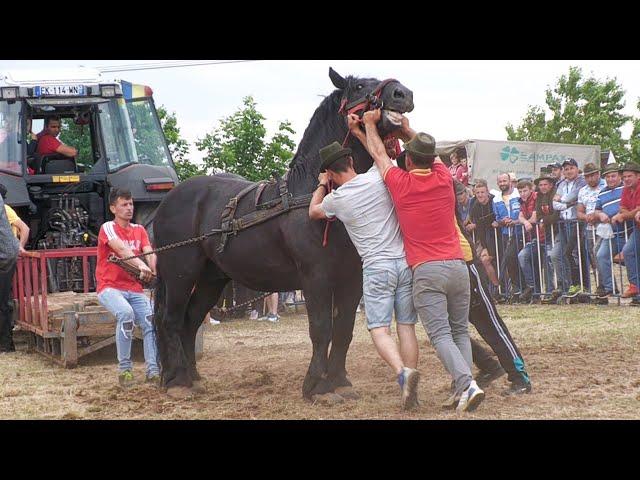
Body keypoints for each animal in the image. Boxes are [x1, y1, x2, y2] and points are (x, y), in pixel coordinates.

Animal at [154, 66, 416, 398]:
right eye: (358, 86)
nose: (403, 94)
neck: (316, 194)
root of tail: (169, 199)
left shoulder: (352, 277)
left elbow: (344, 327)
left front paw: (339, 381)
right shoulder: (315, 276)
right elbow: (321, 328)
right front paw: (317, 386)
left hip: (212, 278)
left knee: (190, 320)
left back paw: (193, 377)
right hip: (180, 273)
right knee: (171, 319)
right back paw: (178, 382)